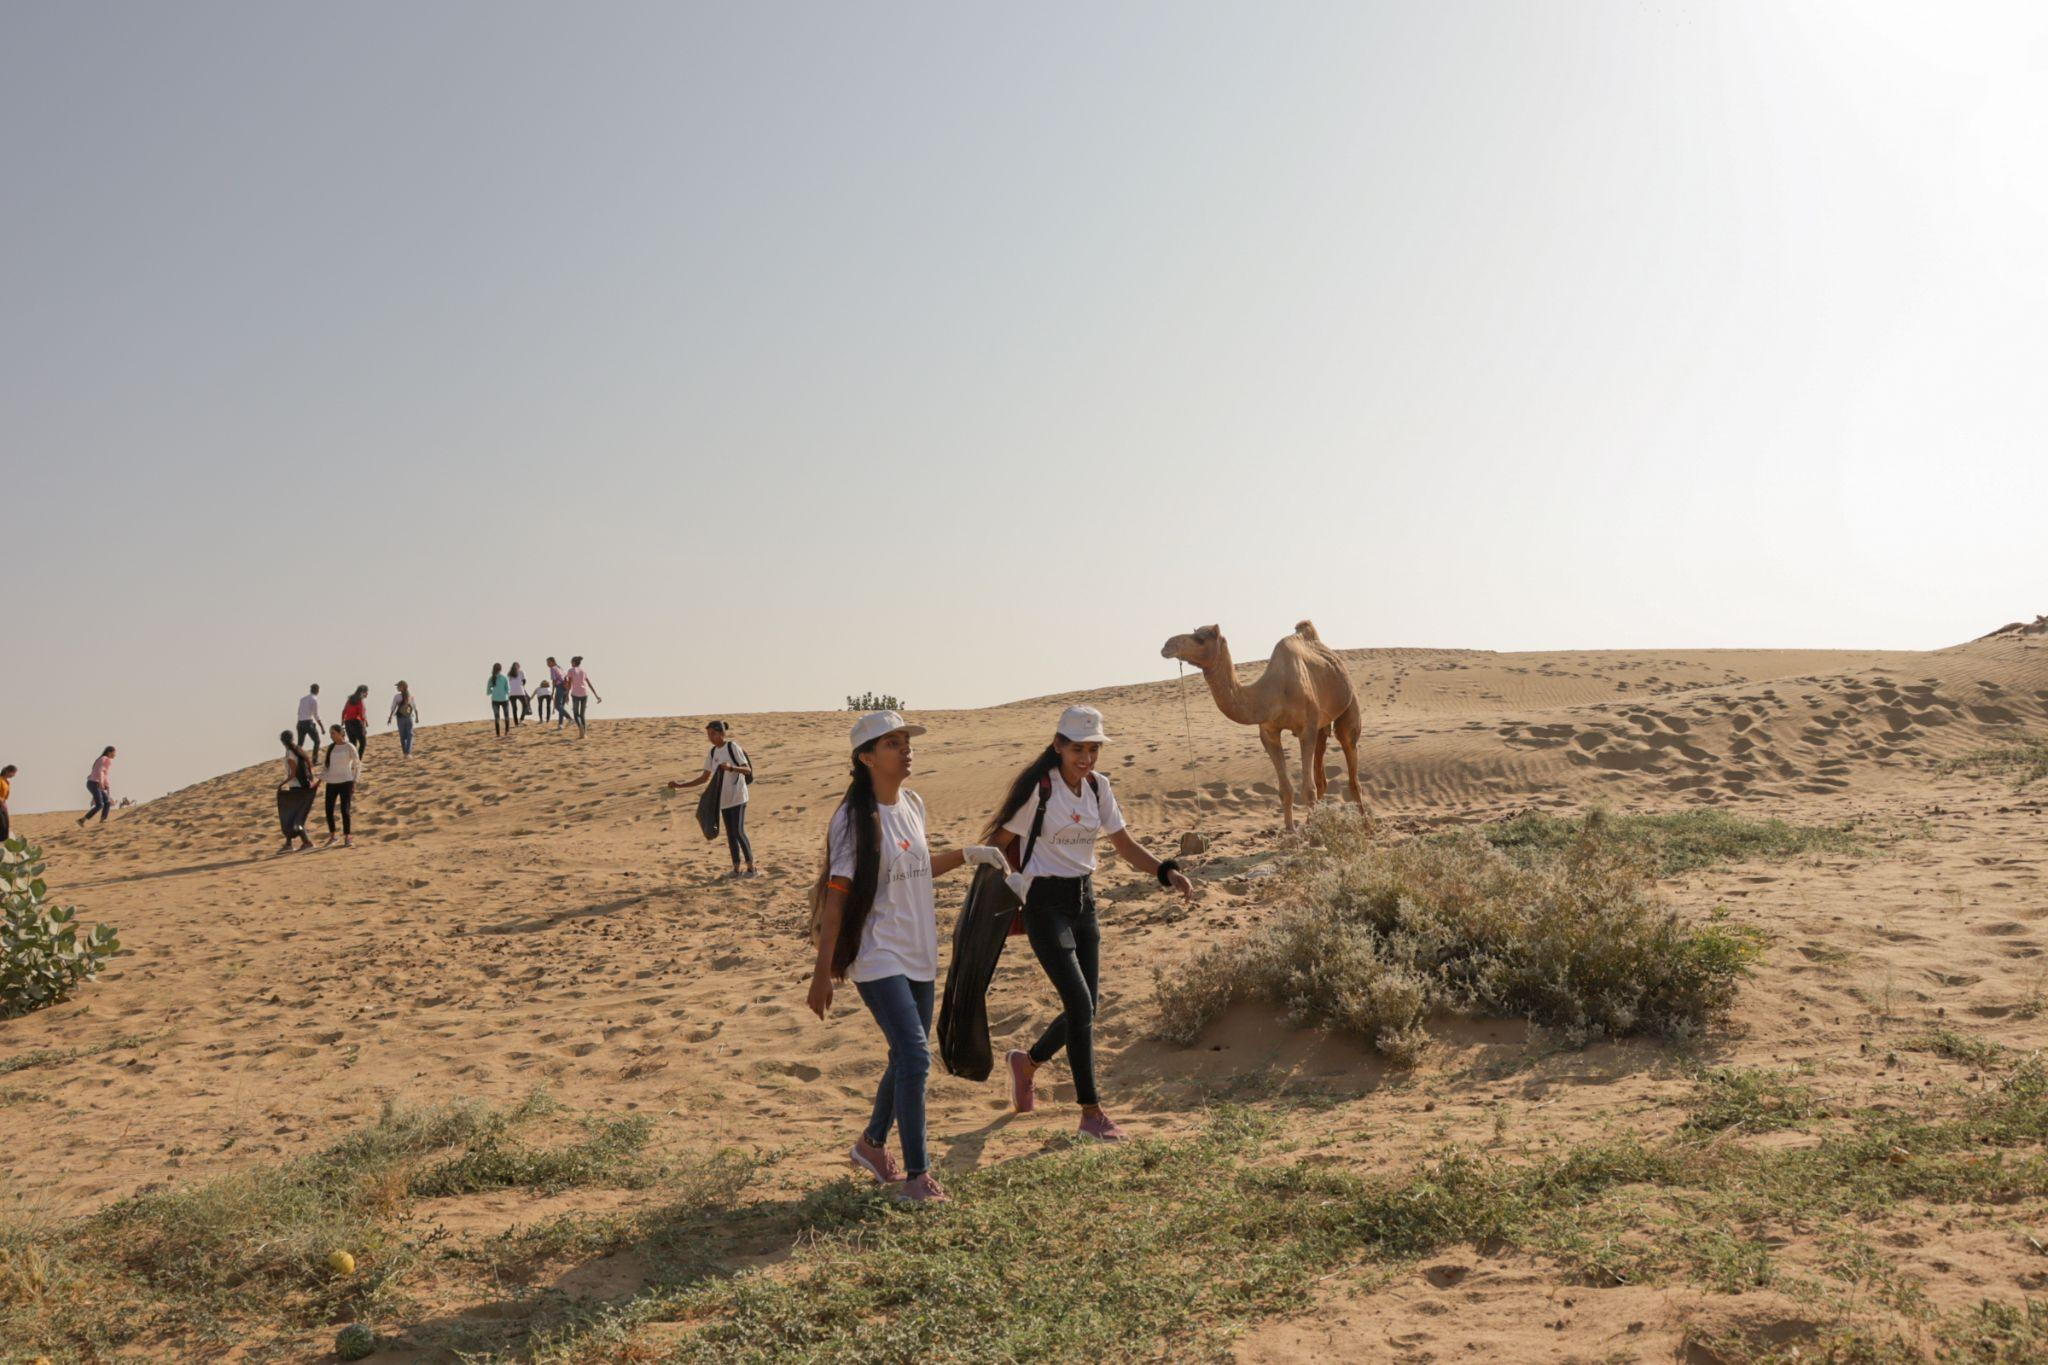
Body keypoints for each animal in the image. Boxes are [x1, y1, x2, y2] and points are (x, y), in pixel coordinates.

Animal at [1163, 622, 1368, 834]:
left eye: (1200, 639)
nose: (1167, 645)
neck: (1273, 693)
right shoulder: (1269, 732)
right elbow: (1285, 790)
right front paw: (1291, 832)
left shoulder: (1306, 729)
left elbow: (1307, 789)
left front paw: (1311, 835)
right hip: (1321, 725)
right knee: (1322, 776)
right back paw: (1314, 822)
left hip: (1349, 705)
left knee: (1350, 759)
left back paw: (1366, 827)